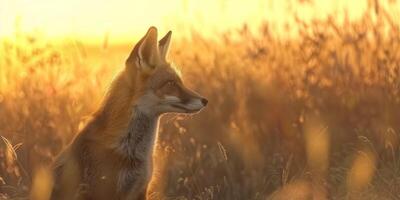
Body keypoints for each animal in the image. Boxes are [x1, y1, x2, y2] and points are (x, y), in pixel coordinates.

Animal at [49, 27, 209, 200]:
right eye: (170, 83)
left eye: (180, 82)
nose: (205, 101)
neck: (131, 151)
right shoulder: (104, 191)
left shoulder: (141, 189)